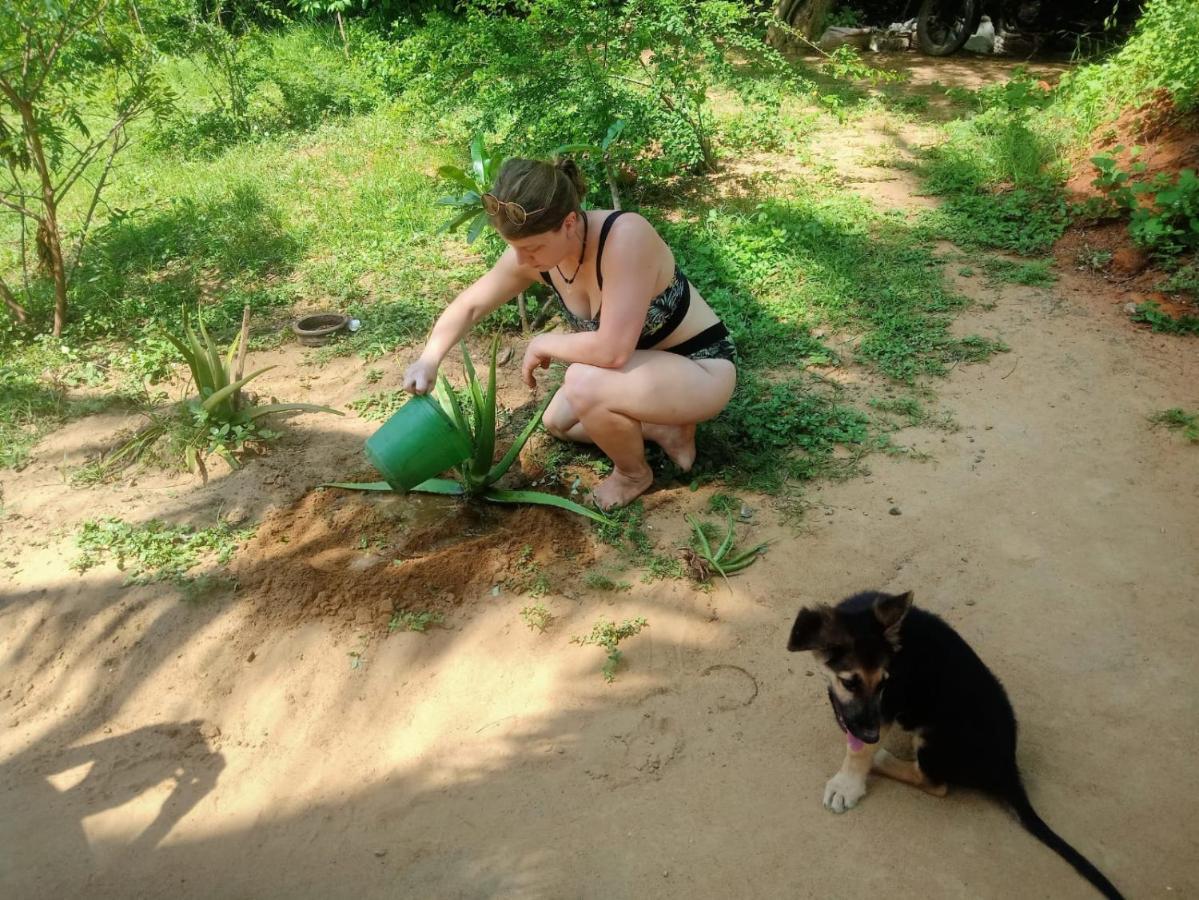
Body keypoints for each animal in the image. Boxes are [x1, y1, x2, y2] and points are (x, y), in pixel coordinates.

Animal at [786, 592, 1122, 900]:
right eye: (850, 683)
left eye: (884, 683)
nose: (872, 736)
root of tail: (1008, 769)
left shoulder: (888, 706)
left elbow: (857, 751)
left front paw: (847, 784)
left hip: (935, 736)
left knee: (935, 783)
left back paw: (883, 759)